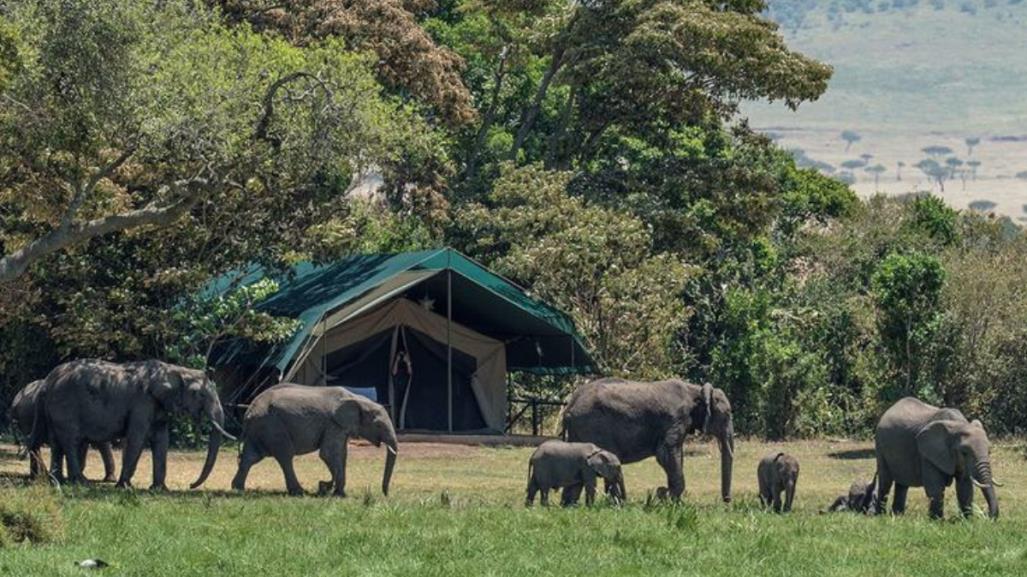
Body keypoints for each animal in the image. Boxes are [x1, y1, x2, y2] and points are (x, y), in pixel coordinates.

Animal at [26, 357, 233, 486]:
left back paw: (57, 481)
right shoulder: (142, 402)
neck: (174, 369)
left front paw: (159, 489)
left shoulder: (158, 406)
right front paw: (124, 486)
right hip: (64, 406)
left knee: (57, 443)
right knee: (70, 441)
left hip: (53, 410)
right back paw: (79, 482)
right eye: (200, 394)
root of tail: (48, 382)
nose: (191, 485)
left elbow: (161, 440)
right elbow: (137, 438)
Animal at [232, 381, 396, 494]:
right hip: (272, 425)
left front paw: (334, 490)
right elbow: (328, 454)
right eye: (379, 425)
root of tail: (249, 411)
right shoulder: (333, 424)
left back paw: (238, 489)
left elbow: (341, 455)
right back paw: (299, 492)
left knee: (250, 457)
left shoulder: (340, 427)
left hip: (260, 428)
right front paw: (335, 491)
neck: (358, 399)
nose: (385, 493)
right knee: (285, 456)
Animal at [558, 377, 735, 498]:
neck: (696, 390)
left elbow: (675, 455)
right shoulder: (675, 420)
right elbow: (666, 454)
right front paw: (670, 500)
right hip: (591, 425)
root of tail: (569, 407)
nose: (727, 500)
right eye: (727, 415)